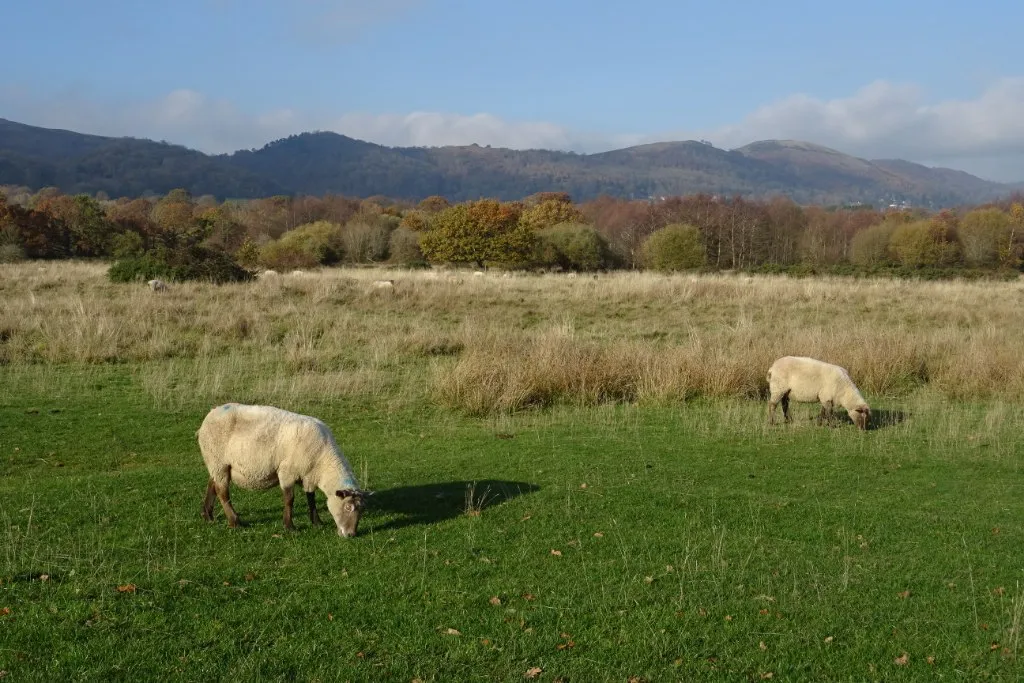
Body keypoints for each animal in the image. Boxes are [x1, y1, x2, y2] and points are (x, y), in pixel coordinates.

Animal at [197, 403, 373, 536]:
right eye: (348, 507)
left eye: (362, 510)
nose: (350, 534)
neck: (323, 461)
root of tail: (211, 414)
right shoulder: (287, 472)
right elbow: (289, 499)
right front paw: (289, 526)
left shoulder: (308, 475)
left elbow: (311, 498)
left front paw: (317, 522)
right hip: (218, 461)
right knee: (222, 492)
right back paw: (234, 521)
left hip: (217, 464)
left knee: (212, 484)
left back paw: (208, 515)